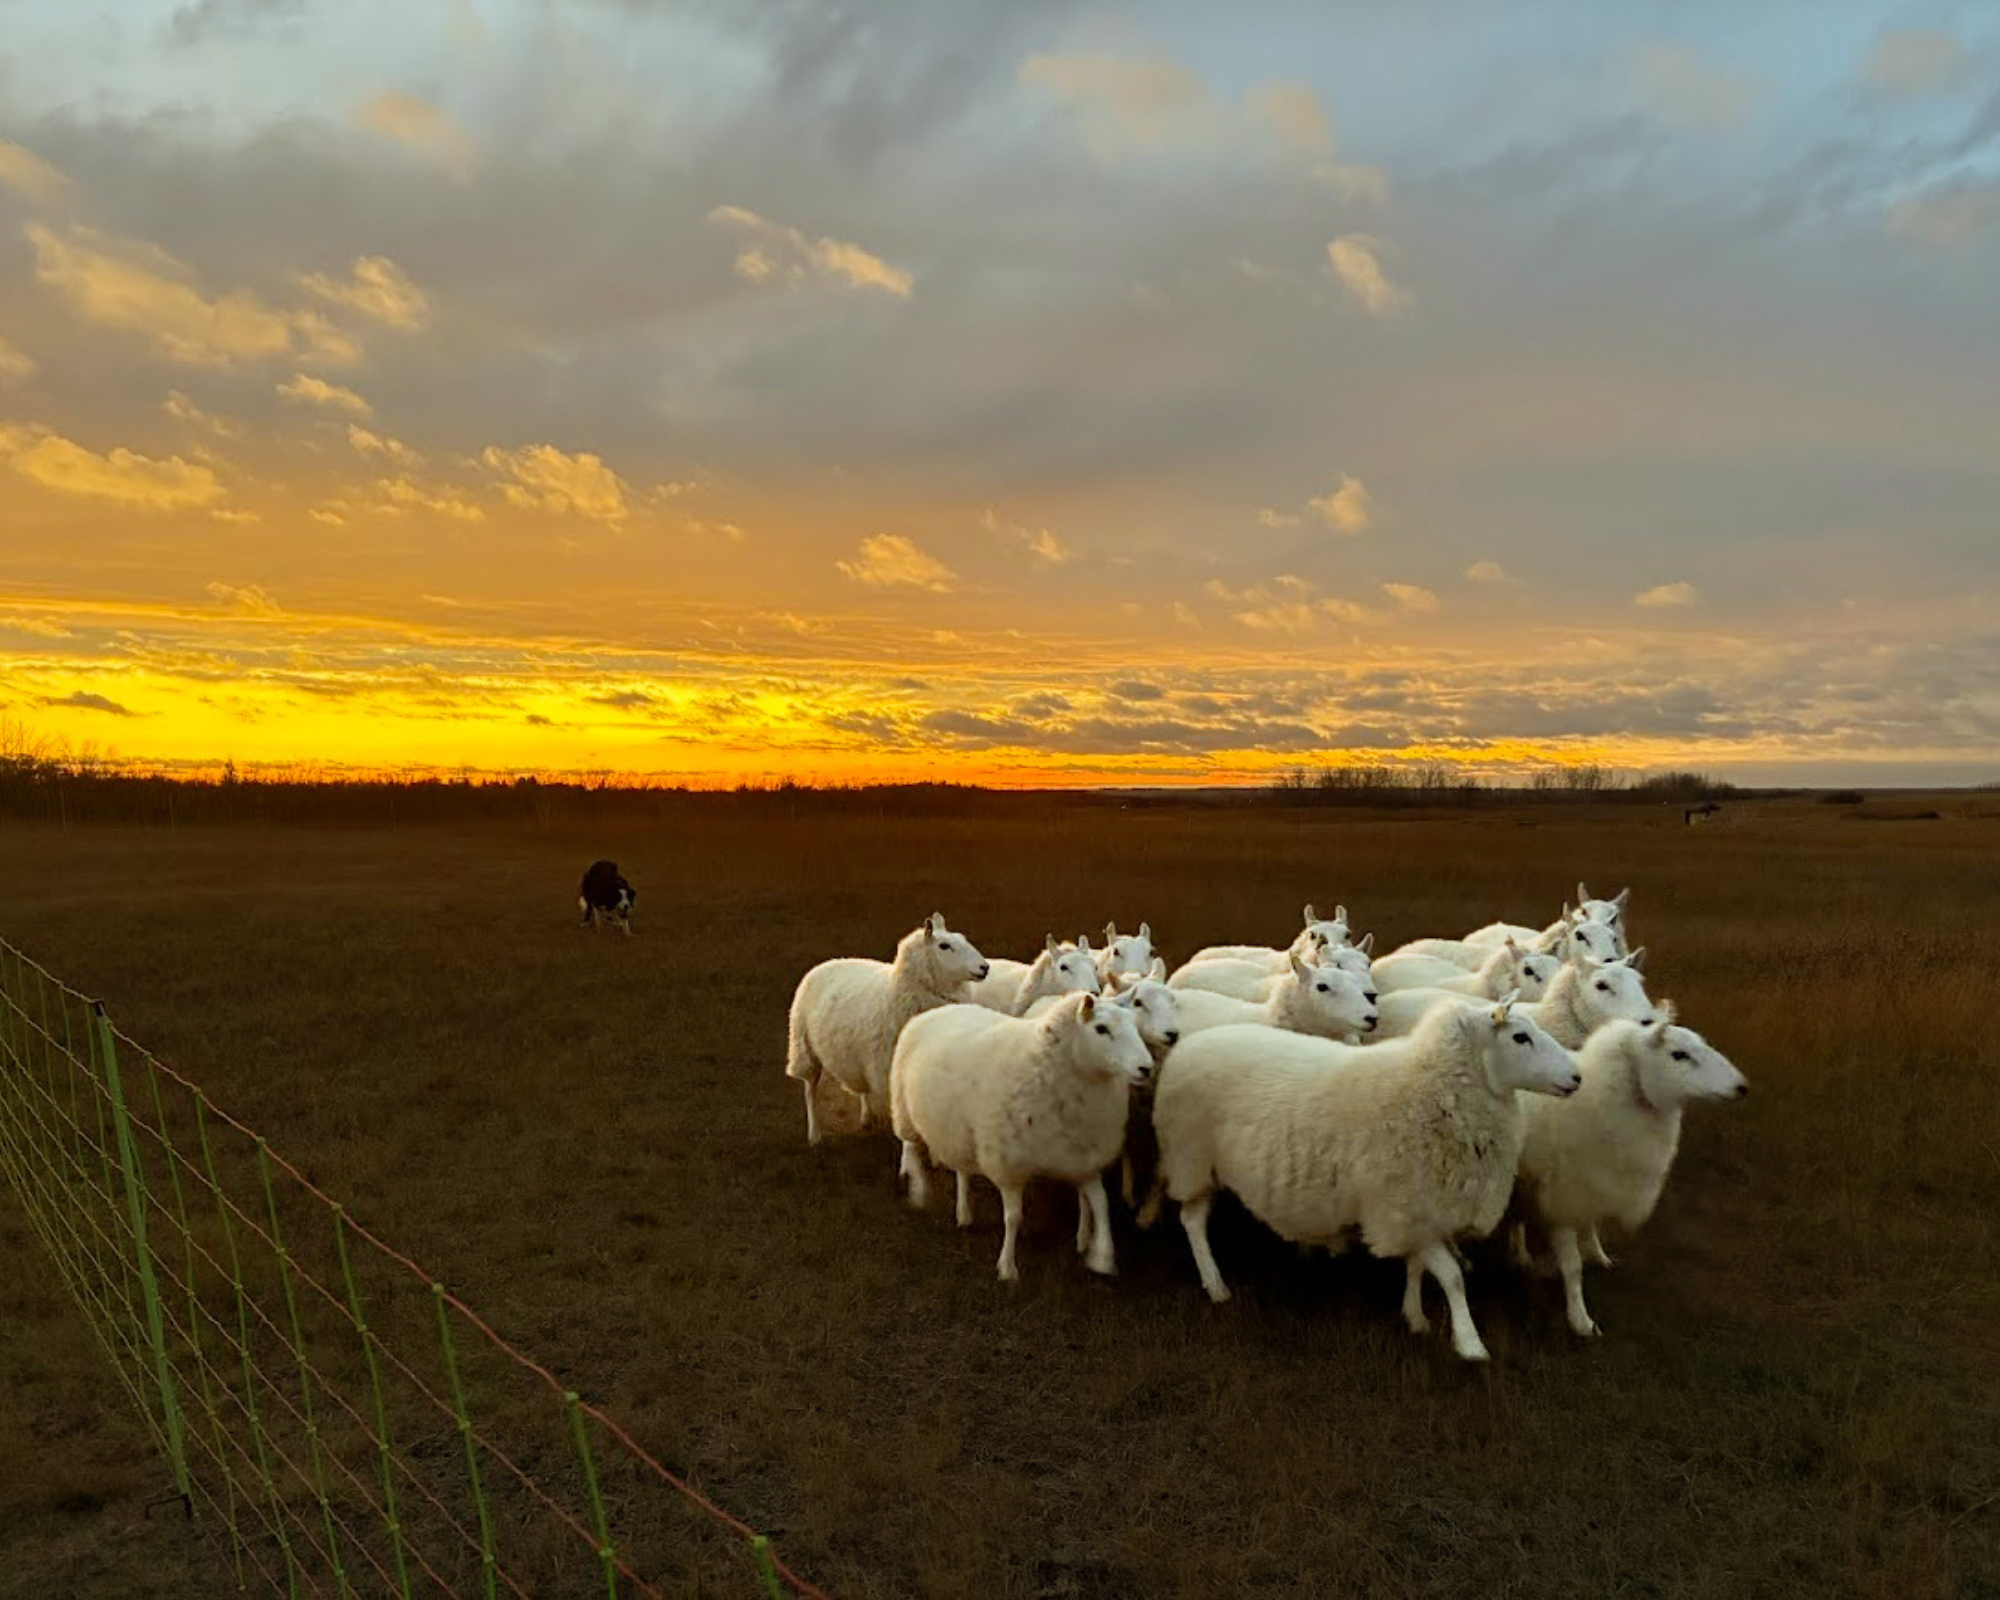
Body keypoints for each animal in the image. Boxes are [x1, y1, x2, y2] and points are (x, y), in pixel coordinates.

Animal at [784, 913, 989, 1145]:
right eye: (944, 946)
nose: (985, 967)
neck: (900, 991)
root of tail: (828, 962)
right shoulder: (887, 1067)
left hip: (856, 1055)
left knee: (861, 1087)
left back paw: (866, 1118)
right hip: (804, 1046)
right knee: (810, 1088)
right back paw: (815, 1134)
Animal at [890, 992, 1153, 1280]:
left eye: (1134, 1024)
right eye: (1101, 1029)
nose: (1146, 1068)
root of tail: (937, 1011)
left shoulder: (1079, 1159)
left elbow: (1101, 1203)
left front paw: (1102, 1256)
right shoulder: (1008, 1164)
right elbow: (1013, 1217)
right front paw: (1007, 1267)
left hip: (960, 1129)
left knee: (962, 1170)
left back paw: (964, 1214)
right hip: (904, 1107)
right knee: (909, 1145)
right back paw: (918, 1189)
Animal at [1145, 998, 1582, 1359]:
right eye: (1520, 1037)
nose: (1577, 1077)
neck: (1431, 1090)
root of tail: (1186, 1047)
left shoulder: (1416, 1209)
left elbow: (1416, 1267)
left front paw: (1414, 1317)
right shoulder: (1402, 1206)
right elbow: (1452, 1278)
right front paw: (1470, 1343)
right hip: (1192, 1158)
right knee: (1192, 1222)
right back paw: (1215, 1285)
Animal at [1508, 1007, 1748, 1337]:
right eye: (1679, 1054)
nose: (1742, 1087)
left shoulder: (1594, 1183)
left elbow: (1591, 1225)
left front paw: (1598, 1254)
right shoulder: (1563, 1199)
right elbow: (1572, 1267)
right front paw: (1580, 1319)